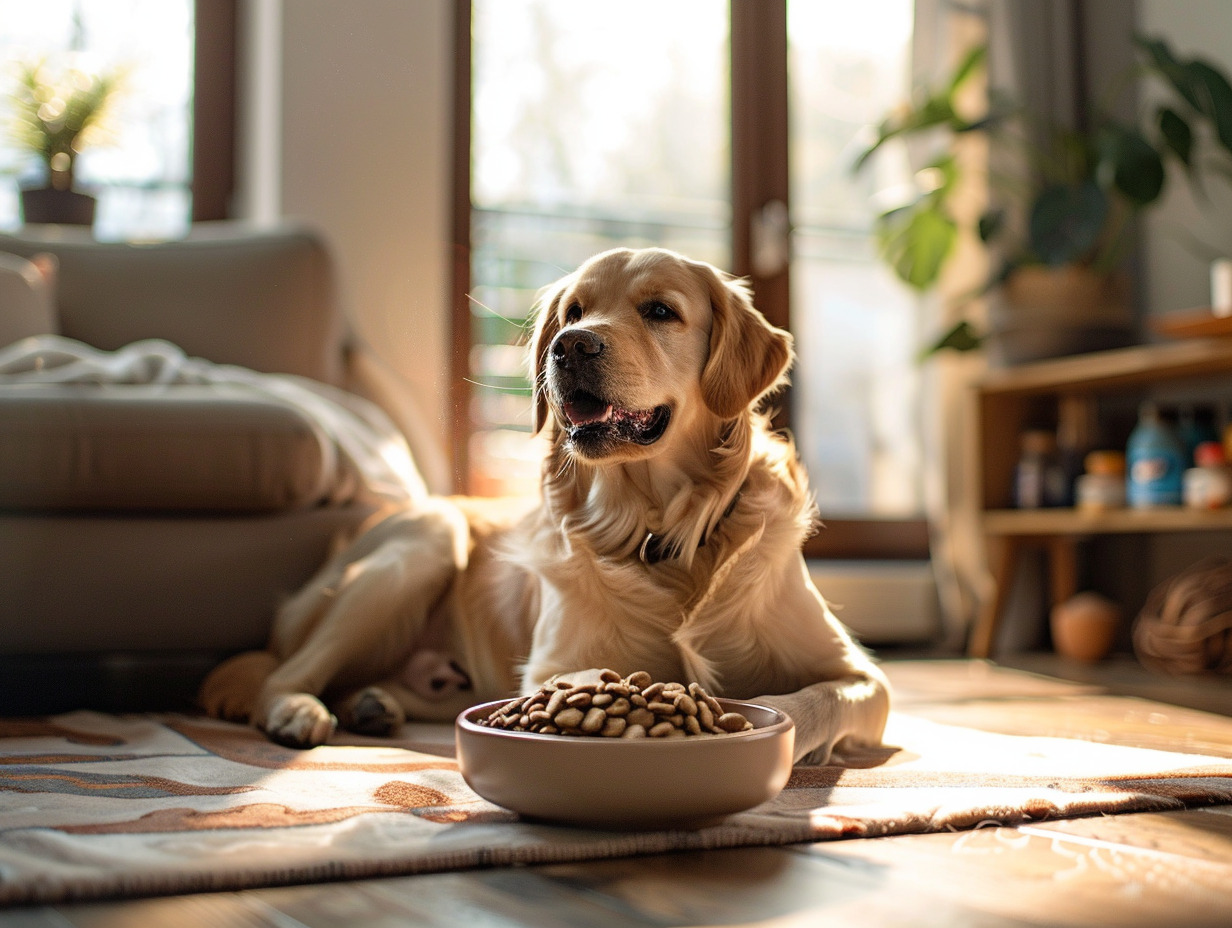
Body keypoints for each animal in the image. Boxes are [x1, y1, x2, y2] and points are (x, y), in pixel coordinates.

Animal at [199, 244, 887, 759]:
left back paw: (373, 704)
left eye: (661, 310)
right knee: (285, 675)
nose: (571, 345)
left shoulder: (862, 676)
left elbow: (815, 699)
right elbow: (578, 687)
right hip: (425, 539)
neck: (660, 531)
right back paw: (298, 710)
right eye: (574, 310)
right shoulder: (554, 667)